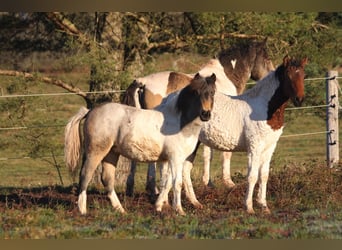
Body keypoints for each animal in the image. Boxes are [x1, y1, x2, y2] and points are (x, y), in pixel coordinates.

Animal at [64, 72, 216, 215]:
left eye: (212, 92)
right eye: (196, 92)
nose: (205, 114)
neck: (180, 121)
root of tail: (90, 111)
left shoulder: (172, 160)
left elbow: (167, 183)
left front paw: (158, 206)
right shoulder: (175, 158)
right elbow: (176, 183)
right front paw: (179, 210)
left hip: (111, 153)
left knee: (107, 178)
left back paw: (120, 209)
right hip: (96, 152)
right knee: (85, 175)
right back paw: (83, 210)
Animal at [121, 39, 276, 196]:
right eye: (267, 58)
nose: (273, 76)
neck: (224, 78)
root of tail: (142, 81)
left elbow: (208, 154)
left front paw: (209, 182)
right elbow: (223, 154)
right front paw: (226, 183)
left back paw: (133, 188)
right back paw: (153, 188)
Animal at [156, 55, 308, 215]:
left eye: (303, 75)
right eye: (288, 76)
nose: (299, 99)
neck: (264, 108)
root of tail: (168, 99)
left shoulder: (269, 147)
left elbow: (264, 175)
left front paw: (264, 206)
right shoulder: (254, 148)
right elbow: (252, 176)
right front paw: (249, 207)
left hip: (192, 143)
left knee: (183, 170)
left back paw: (194, 203)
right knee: (169, 172)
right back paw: (166, 205)